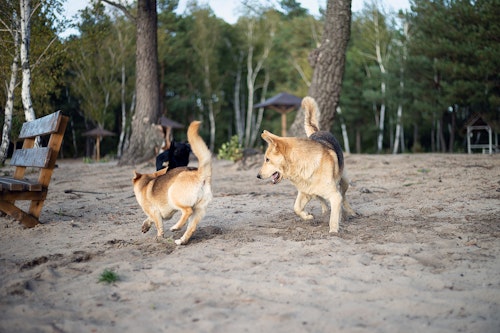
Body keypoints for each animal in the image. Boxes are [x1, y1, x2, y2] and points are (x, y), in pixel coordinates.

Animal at [258, 94, 356, 232]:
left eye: (267, 159)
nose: (258, 176)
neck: (302, 165)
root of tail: (317, 131)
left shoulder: (335, 196)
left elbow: (334, 215)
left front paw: (333, 231)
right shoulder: (304, 192)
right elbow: (296, 208)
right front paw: (307, 216)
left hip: (345, 181)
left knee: (344, 197)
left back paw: (349, 212)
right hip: (314, 192)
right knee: (321, 199)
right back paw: (325, 210)